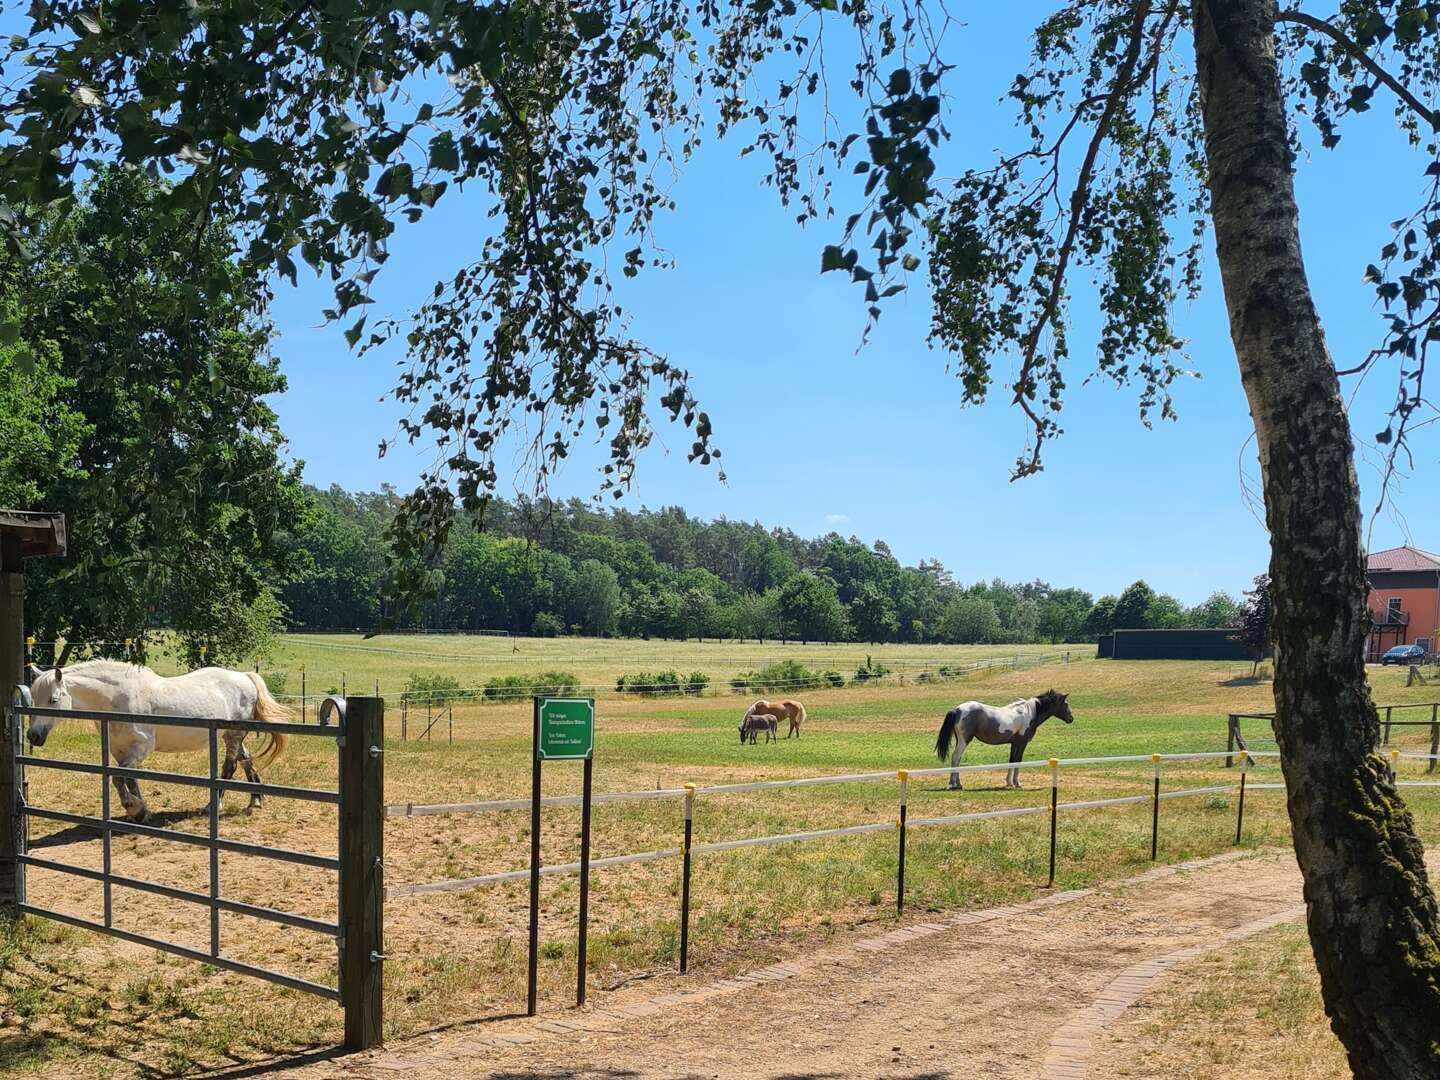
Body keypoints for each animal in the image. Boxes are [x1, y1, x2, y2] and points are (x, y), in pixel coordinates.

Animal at [24, 659, 292, 829]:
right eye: (33, 697)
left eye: (53, 699)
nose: (33, 736)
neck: (120, 698)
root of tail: (245, 676)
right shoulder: (120, 751)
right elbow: (128, 779)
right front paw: (141, 812)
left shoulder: (140, 749)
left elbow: (119, 778)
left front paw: (135, 808)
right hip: (230, 735)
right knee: (246, 760)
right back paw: (255, 800)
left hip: (233, 735)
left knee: (230, 767)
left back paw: (212, 806)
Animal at [927, 696, 1077, 789]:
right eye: (1066, 704)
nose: (1071, 719)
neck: (1029, 713)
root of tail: (957, 709)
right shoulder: (1022, 743)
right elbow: (1018, 761)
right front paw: (1017, 783)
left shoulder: (1014, 744)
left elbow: (1012, 761)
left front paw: (1009, 783)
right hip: (964, 741)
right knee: (955, 757)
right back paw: (955, 784)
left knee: (957, 759)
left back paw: (957, 783)